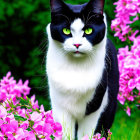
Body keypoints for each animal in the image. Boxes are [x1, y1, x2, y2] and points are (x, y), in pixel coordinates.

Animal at [46, 0, 118, 139]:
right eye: (66, 30)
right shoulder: (60, 108)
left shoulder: (95, 108)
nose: (77, 44)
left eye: (89, 30)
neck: (76, 68)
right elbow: (65, 134)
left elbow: (87, 134)